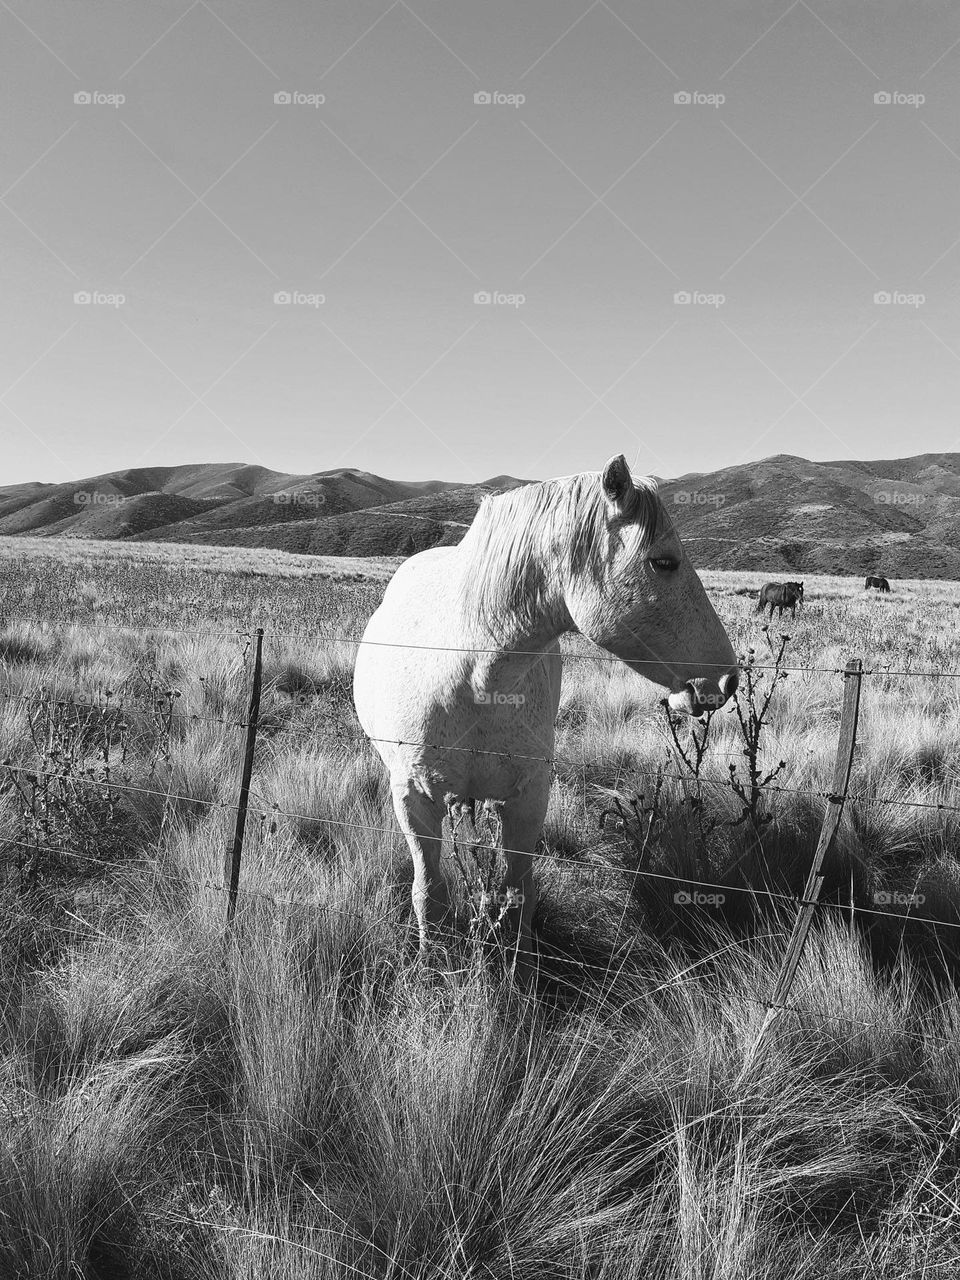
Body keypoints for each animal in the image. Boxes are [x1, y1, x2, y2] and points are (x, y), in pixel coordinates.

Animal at [353, 455, 737, 962]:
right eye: (663, 562)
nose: (728, 680)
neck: (472, 677)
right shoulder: (414, 800)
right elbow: (428, 896)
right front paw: (431, 969)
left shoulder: (529, 798)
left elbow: (520, 896)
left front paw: (521, 974)